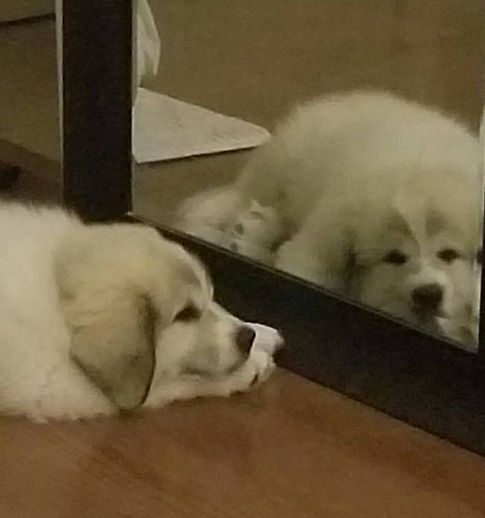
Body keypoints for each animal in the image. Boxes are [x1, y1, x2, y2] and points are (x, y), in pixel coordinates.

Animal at [0, 202, 279, 421]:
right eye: (185, 314)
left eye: (210, 295)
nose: (247, 338)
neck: (56, 283)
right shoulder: (64, 386)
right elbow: (185, 382)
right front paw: (251, 367)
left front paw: (263, 332)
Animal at [176, 91, 482, 347]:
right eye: (394, 257)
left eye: (449, 254)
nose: (428, 294)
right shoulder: (325, 237)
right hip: (282, 169)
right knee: (244, 198)